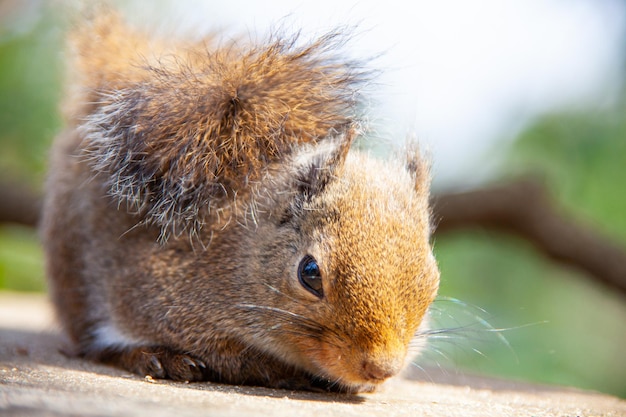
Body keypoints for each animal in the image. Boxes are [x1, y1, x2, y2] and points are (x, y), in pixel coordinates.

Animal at [40, 11, 438, 392]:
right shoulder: (154, 287)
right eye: (309, 273)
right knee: (91, 342)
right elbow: (226, 354)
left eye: (432, 280)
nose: (381, 368)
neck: (238, 255)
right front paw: (270, 369)